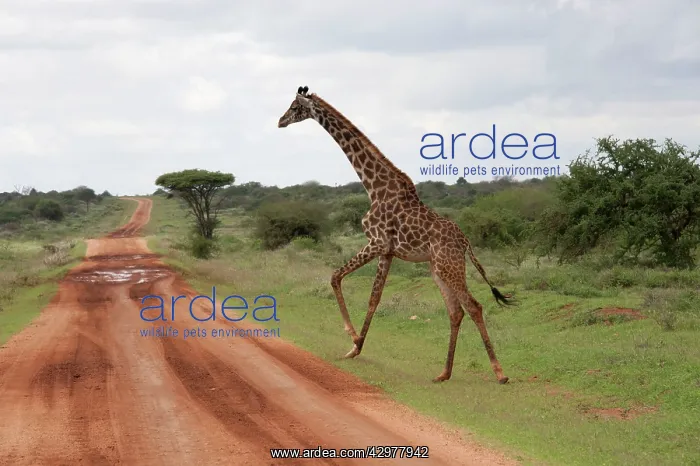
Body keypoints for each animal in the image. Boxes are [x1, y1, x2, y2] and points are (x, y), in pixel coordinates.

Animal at [278, 86, 514, 384]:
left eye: (295, 107)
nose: (280, 121)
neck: (374, 187)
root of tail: (466, 242)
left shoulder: (376, 242)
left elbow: (336, 277)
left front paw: (352, 339)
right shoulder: (387, 251)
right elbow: (373, 298)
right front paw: (355, 347)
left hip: (449, 266)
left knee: (473, 306)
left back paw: (499, 372)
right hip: (438, 269)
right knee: (456, 311)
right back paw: (444, 373)